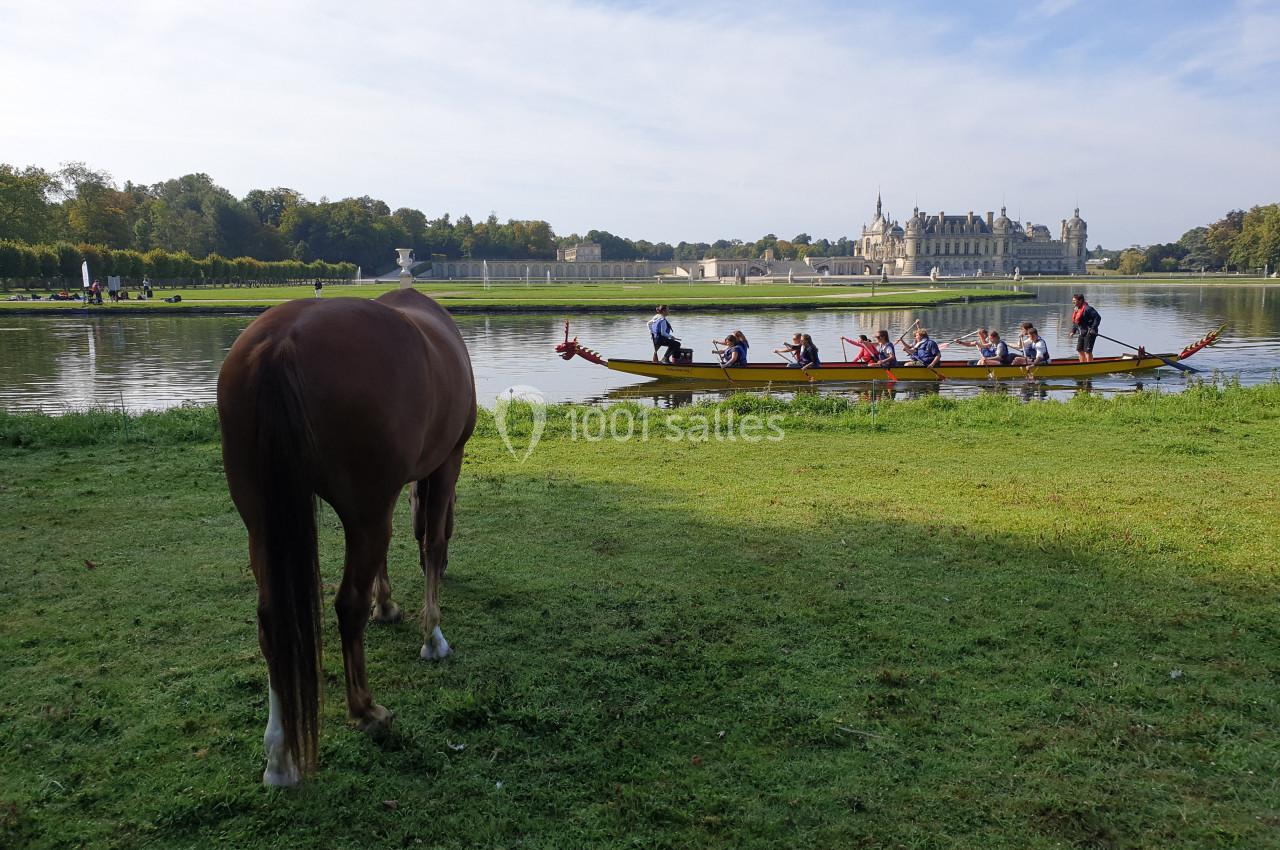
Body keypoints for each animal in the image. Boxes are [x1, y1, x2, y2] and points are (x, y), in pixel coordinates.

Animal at [217, 288, 476, 786]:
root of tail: (280, 343)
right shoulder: (445, 461)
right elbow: (432, 542)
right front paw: (432, 637)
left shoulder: (384, 499)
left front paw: (387, 605)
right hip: (366, 506)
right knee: (346, 605)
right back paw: (365, 709)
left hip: (261, 517)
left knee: (271, 621)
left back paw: (279, 756)